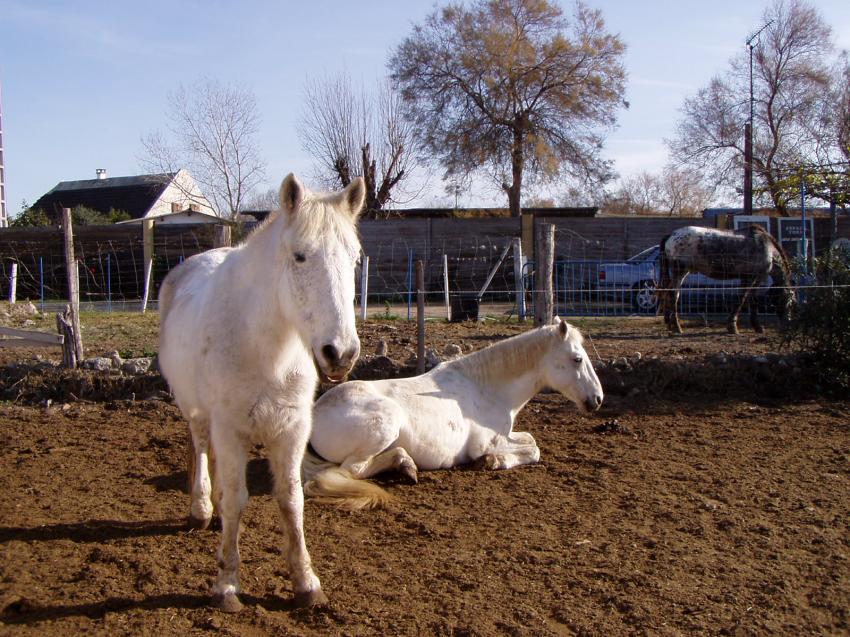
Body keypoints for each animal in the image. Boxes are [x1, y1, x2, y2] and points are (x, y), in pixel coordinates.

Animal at [158, 173, 365, 612]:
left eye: (355, 259)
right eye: (300, 256)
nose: (340, 353)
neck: (265, 347)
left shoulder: (291, 430)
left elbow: (290, 500)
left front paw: (306, 584)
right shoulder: (230, 429)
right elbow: (238, 500)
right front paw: (227, 585)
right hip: (196, 411)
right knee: (200, 448)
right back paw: (201, 509)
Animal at [303, 318, 604, 510]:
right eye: (577, 359)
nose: (597, 399)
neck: (486, 388)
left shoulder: (507, 434)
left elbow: (530, 439)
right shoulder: (485, 443)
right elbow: (534, 450)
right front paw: (493, 461)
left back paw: (405, 464)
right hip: (385, 423)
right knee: (352, 470)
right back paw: (406, 466)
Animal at [658, 225, 794, 335]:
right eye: (789, 301)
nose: (788, 324)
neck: (766, 247)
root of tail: (672, 235)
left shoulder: (749, 278)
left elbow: (749, 299)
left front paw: (756, 326)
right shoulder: (753, 278)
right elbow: (743, 299)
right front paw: (733, 327)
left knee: (668, 292)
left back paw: (670, 325)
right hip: (680, 272)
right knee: (674, 295)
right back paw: (677, 327)